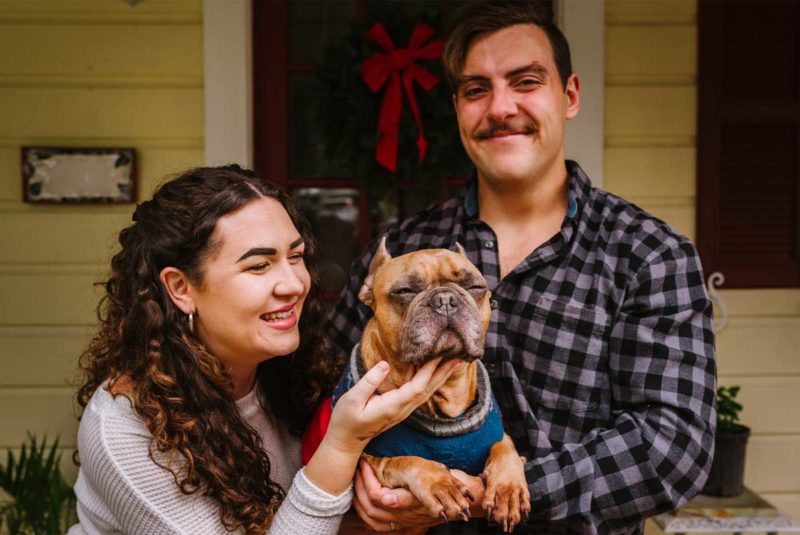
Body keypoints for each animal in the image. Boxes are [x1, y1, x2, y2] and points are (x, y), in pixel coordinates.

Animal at [332, 241, 532, 532]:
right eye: (404, 291)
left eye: (476, 287)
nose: (445, 299)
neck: (442, 399)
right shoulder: (368, 463)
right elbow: (405, 461)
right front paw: (440, 484)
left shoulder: (499, 437)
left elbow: (504, 447)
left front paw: (508, 489)